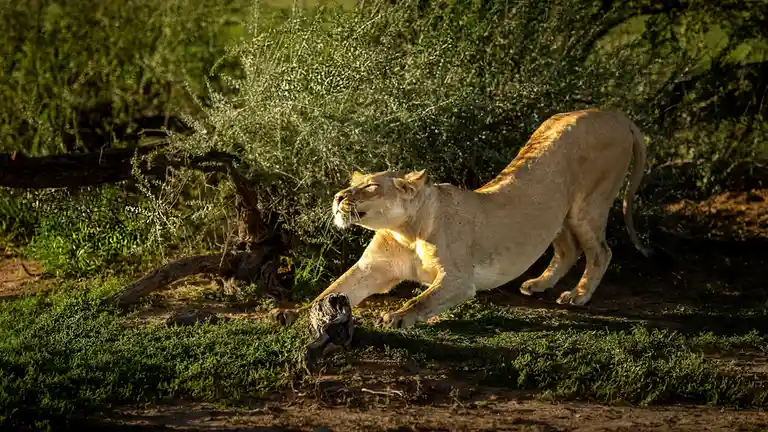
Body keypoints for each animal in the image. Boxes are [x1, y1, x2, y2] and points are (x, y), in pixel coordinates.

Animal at [272, 109, 652, 329]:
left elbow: (422, 299)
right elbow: (332, 291)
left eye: (370, 187)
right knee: (568, 249)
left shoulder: (458, 279)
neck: (404, 232)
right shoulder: (372, 268)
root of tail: (616, 114)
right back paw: (538, 285)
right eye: (354, 183)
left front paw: (397, 316)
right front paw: (293, 312)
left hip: (588, 205)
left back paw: (578, 296)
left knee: (601, 251)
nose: (338, 197)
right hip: (556, 214)